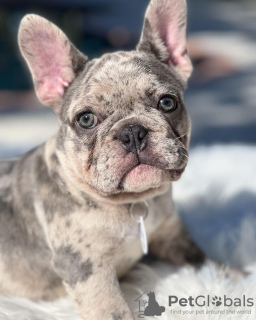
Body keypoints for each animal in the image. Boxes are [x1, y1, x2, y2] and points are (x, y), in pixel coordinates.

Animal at [0, 0, 204, 318]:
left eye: (167, 102)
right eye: (86, 119)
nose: (132, 132)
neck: (132, 204)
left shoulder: (173, 233)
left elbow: (205, 262)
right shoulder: (88, 270)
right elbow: (113, 311)